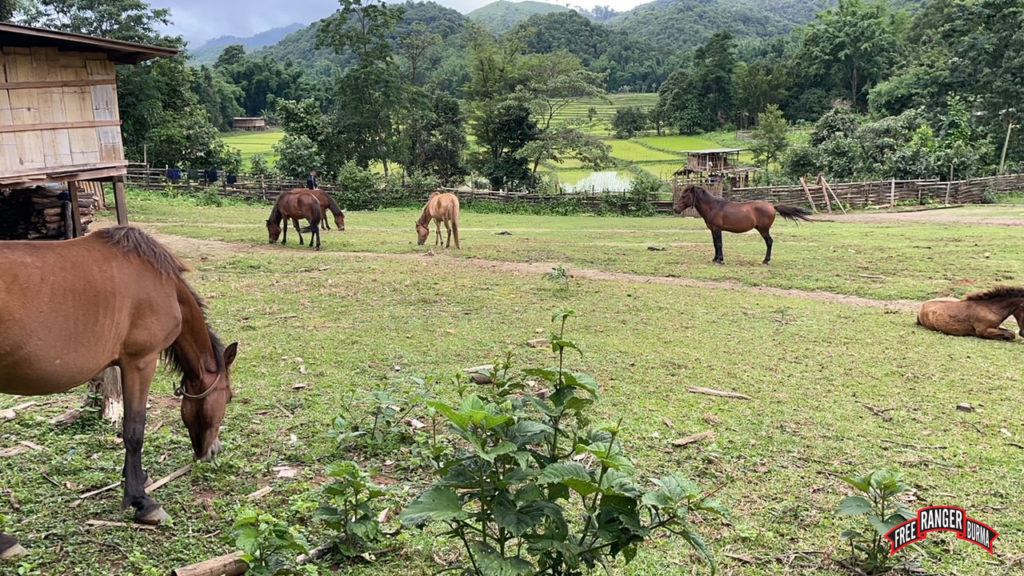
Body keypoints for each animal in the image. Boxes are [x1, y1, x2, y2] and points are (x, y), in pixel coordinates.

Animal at [0, 227, 237, 557]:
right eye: (228, 398)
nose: (214, 450)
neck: (163, 283)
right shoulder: (140, 362)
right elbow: (134, 431)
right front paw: (142, 503)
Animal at [675, 183, 811, 264]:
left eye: (684, 196)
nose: (675, 209)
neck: (713, 207)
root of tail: (772, 206)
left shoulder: (717, 229)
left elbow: (719, 244)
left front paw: (720, 260)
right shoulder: (713, 230)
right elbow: (715, 244)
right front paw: (715, 259)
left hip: (763, 230)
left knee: (769, 242)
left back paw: (766, 261)